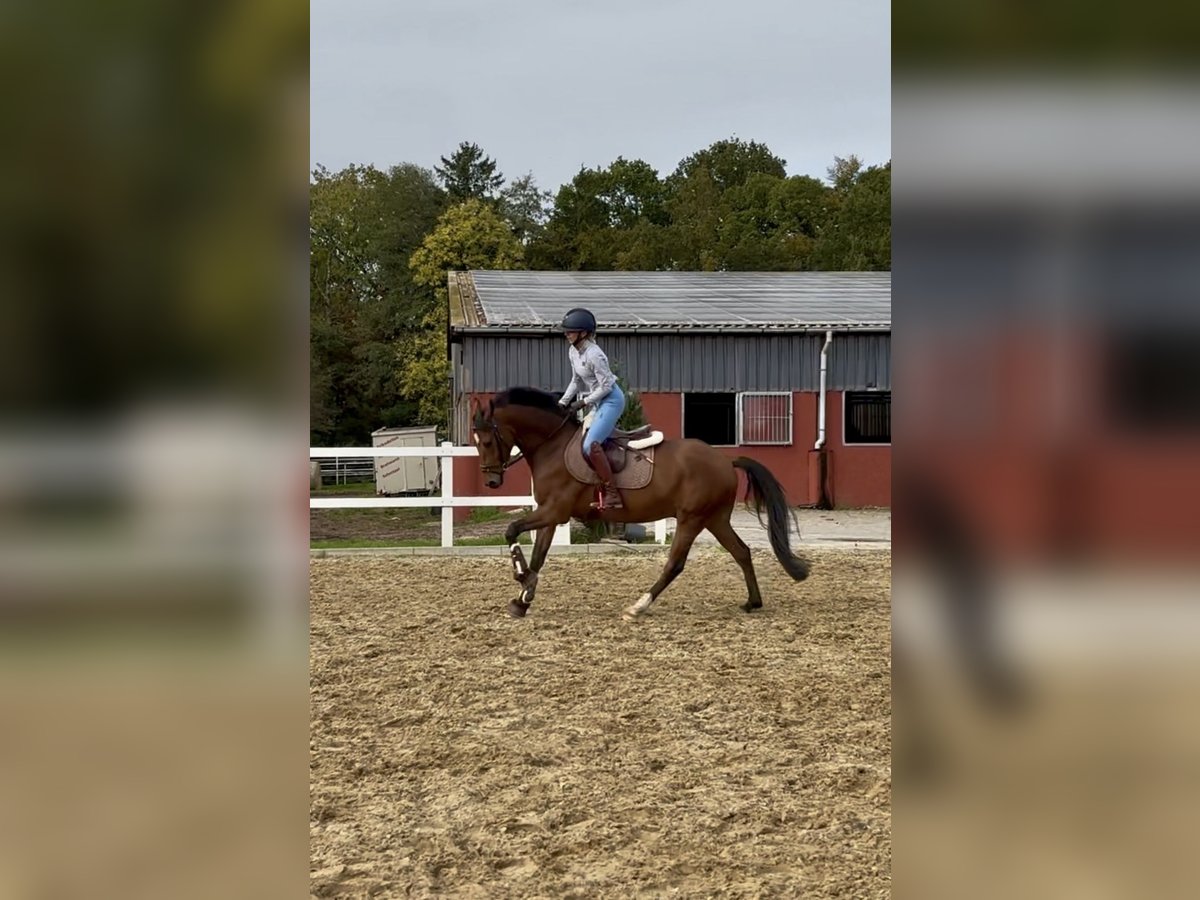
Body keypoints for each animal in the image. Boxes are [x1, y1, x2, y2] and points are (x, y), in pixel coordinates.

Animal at [470, 387, 810, 619]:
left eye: (486, 441)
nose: (491, 482)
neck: (552, 445)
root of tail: (725, 460)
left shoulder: (555, 510)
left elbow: (512, 530)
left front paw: (521, 578)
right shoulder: (550, 515)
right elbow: (538, 555)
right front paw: (523, 598)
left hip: (691, 518)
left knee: (675, 563)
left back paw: (638, 606)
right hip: (715, 518)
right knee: (741, 552)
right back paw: (753, 601)